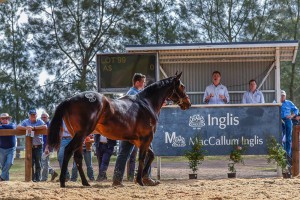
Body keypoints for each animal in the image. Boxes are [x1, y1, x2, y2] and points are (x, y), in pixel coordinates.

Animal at [48, 72, 191, 188]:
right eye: (182, 86)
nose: (188, 103)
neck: (146, 103)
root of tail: (69, 100)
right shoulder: (147, 137)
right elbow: (142, 158)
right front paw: (140, 180)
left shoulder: (136, 140)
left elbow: (151, 155)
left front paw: (142, 178)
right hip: (82, 133)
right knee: (68, 151)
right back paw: (63, 181)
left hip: (79, 135)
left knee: (77, 157)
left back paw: (85, 182)